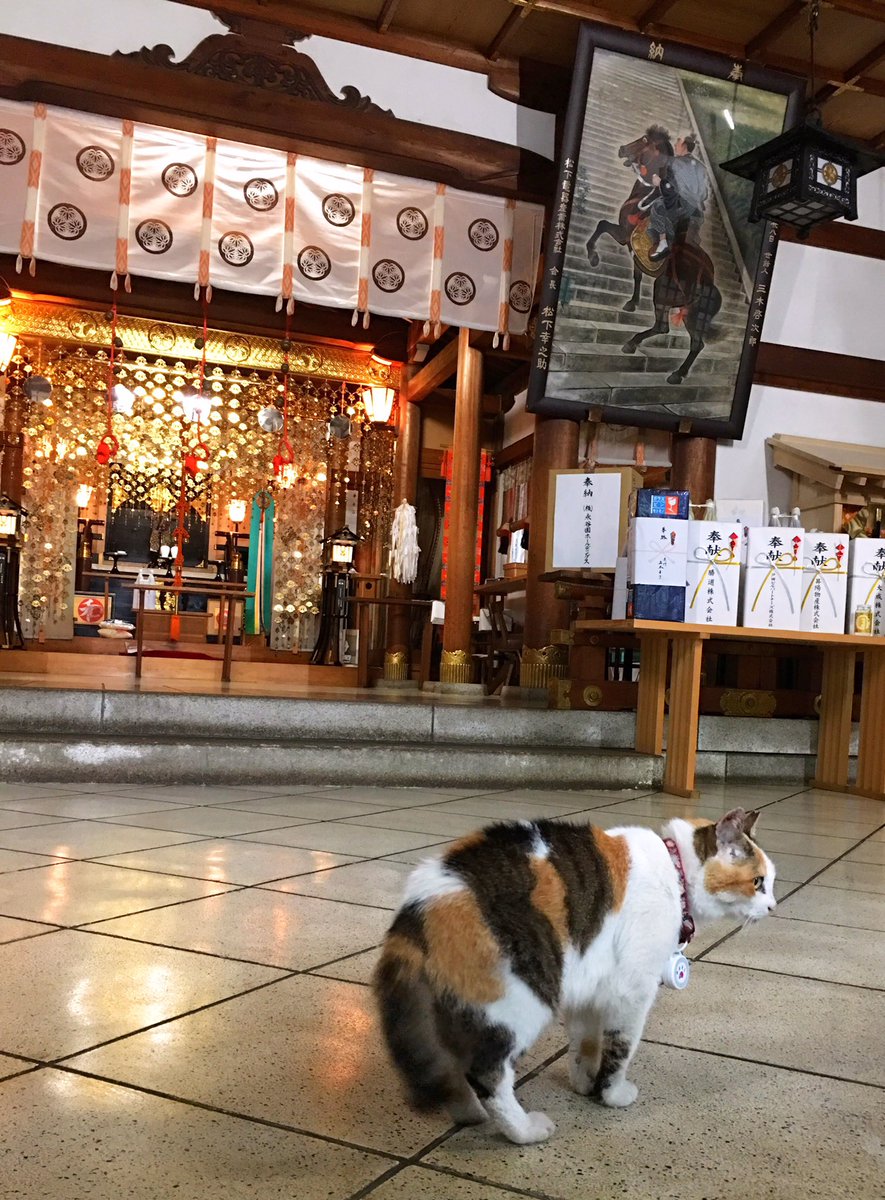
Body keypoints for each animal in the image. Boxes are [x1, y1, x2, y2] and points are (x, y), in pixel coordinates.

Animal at [371, 806, 772, 1142]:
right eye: (758, 882)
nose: (772, 906)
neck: (675, 872)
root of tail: (418, 905)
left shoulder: (588, 988)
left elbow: (585, 1043)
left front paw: (583, 1082)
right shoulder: (632, 991)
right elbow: (621, 1047)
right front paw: (611, 1093)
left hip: (459, 1005)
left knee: (450, 1063)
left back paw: (468, 1113)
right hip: (522, 999)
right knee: (488, 1073)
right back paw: (524, 1130)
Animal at [582, 124, 719, 384]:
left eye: (644, 140)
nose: (622, 149)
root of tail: (707, 279)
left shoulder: (624, 233)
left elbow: (601, 225)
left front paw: (593, 257)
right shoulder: (636, 250)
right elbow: (637, 274)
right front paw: (632, 303)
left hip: (664, 291)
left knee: (663, 327)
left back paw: (632, 344)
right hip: (693, 313)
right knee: (696, 343)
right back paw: (677, 374)